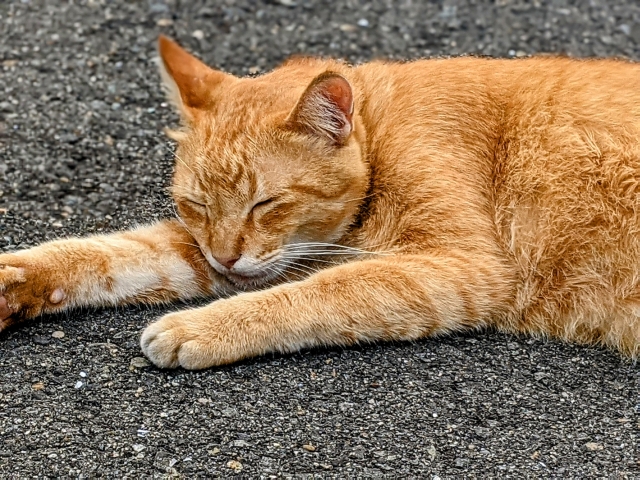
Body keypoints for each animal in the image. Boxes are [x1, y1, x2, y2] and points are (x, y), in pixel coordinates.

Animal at [1, 36, 640, 368]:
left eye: (265, 203)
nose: (225, 256)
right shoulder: (217, 253)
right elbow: (113, 254)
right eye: (196, 206)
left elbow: (318, 295)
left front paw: (202, 327)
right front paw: (18, 279)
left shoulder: (460, 266)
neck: (379, 130)